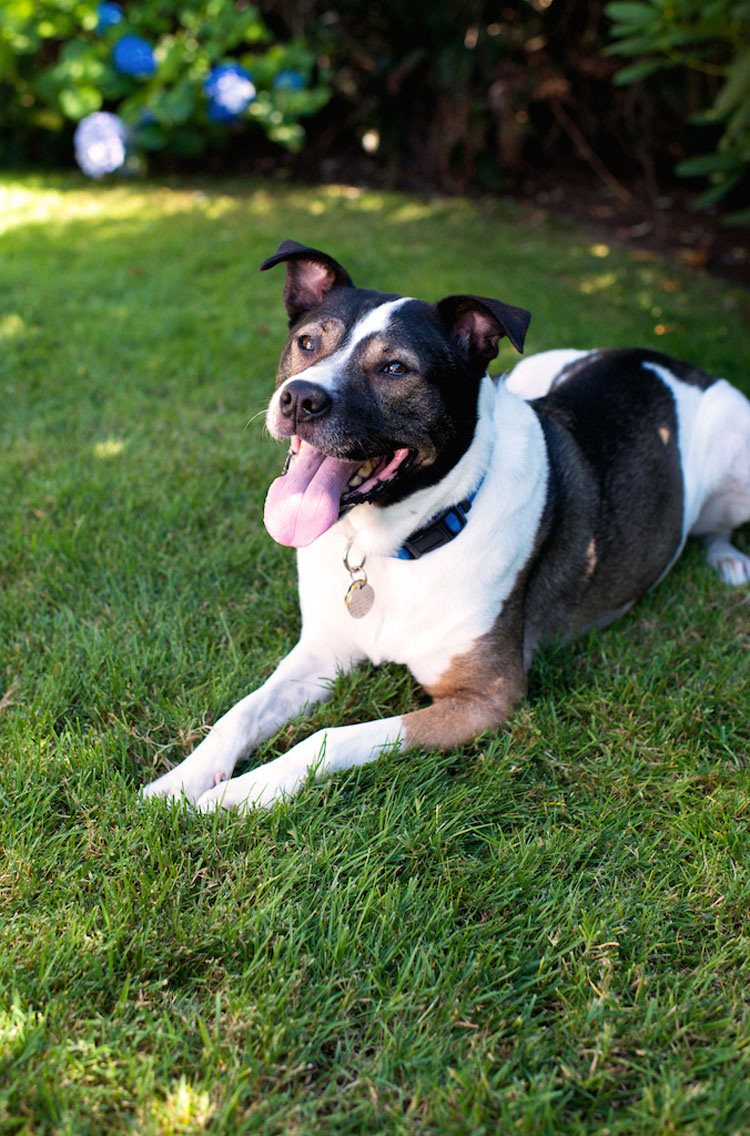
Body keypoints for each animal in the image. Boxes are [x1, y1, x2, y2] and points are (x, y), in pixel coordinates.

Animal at [140, 237, 750, 808]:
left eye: (395, 368)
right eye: (307, 342)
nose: (299, 398)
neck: (396, 540)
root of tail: (661, 357)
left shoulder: (484, 699)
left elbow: (328, 738)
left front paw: (237, 796)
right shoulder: (322, 652)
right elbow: (239, 712)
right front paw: (178, 783)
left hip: (737, 455)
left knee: (716, 526)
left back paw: (727, 560)